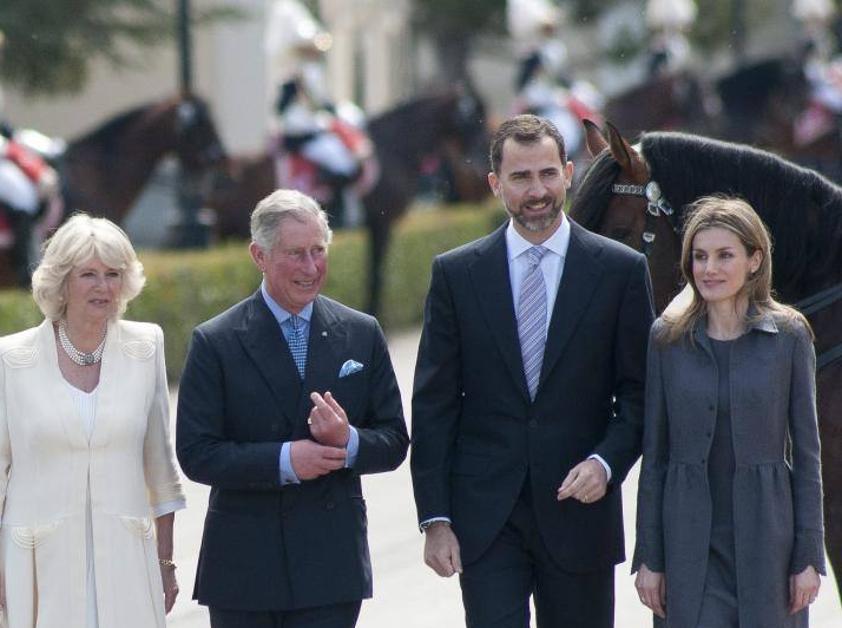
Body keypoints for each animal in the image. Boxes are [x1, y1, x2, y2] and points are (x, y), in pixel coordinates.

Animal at [207, 87, 488, 314]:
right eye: (468, 120)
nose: (480, 161)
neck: (391, 147)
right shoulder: (380, 224)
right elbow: (376, 274)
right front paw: (374, 311)